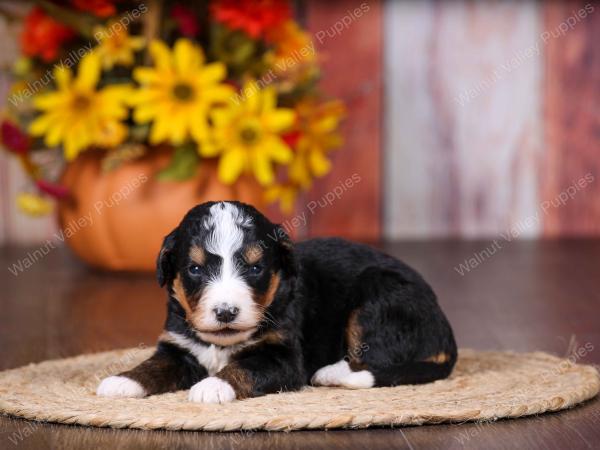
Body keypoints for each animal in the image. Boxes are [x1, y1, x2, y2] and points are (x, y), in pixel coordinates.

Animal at [97, 201, 454, 404]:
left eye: (255, 268)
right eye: (195, 269)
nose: (226, 312)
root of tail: (444, 327)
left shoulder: (282, 356)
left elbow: (245, 367)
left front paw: (213, 386)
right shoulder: (178, 347)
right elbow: (153, 365)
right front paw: (122, 381)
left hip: (379, 295)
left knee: (373, 361)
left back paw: (329, 373)